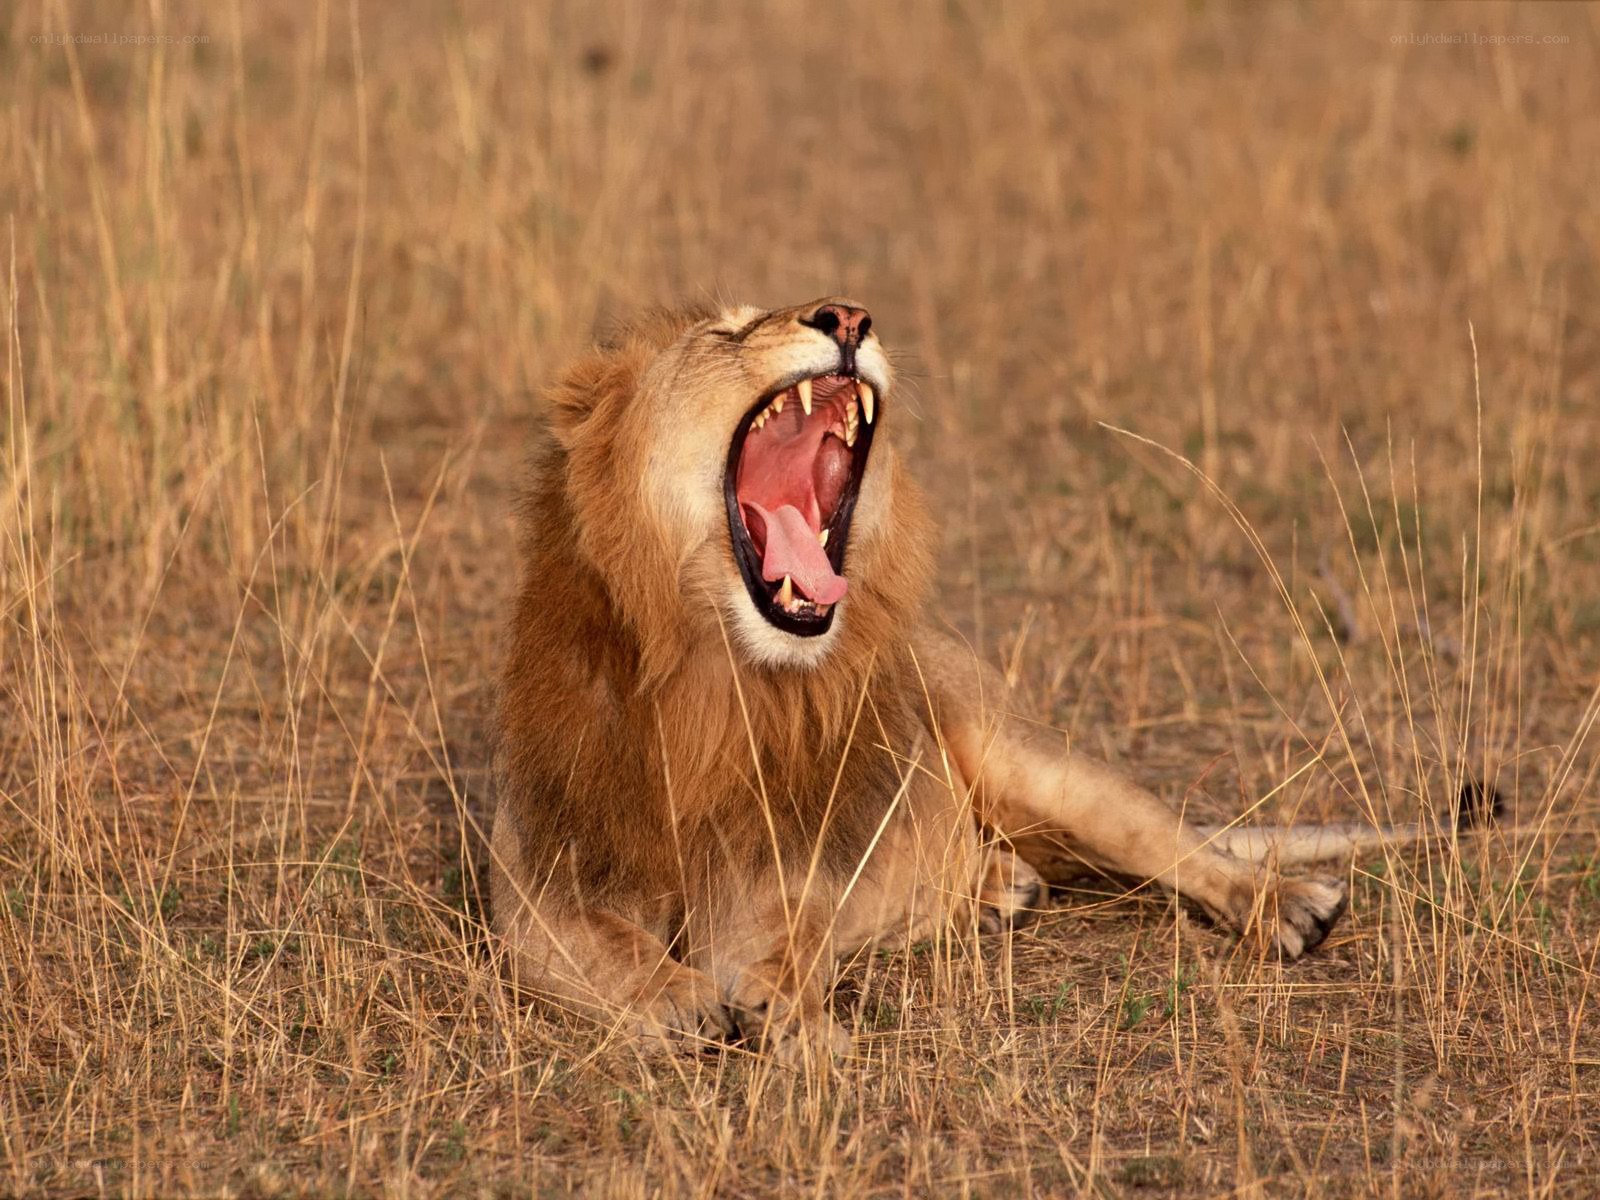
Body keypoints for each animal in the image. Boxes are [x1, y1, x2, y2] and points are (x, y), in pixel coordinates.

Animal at [489, 297, 1494, 1056]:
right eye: (725, 330)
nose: (847, 314)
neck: (713, 675)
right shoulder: (537, 881)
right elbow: (595, 945)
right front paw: (674, 995)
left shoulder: (781, 872)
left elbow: (787, 943)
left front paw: (792, 1011)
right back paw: (998, 890)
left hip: (1036, 761)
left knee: (1185, 848)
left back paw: (1287, 906)